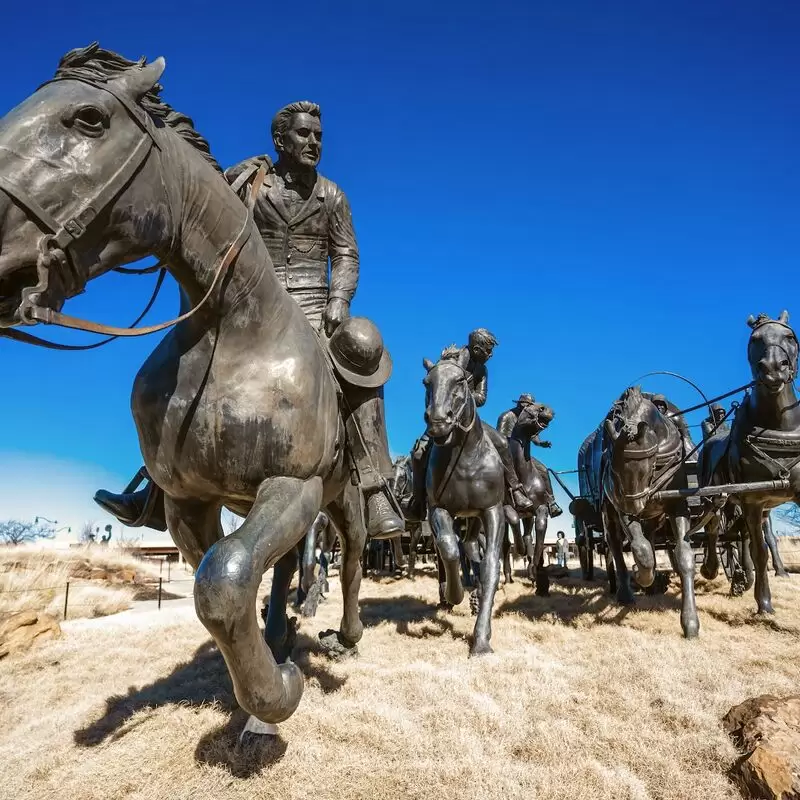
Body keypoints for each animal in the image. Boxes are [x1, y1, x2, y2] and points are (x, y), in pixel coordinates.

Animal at [0, 43, 374, 732]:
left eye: (89, 119)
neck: (232, 334)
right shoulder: (186, 502)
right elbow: (221, 576)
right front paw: (262, 683)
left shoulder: (295, 485)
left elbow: (224, 577)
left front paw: (277, 694)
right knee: (284, 567)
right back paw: (281, 636)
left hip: (345, 499)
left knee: (356, 553)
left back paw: (345, 635)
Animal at [422, 350, 504, 656]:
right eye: (426, 383)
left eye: (460, 381)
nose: (437, 421)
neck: (466, 456)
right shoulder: (438, 509)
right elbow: (449, 550)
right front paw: (454, 595)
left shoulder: (493, 511)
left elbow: (491, 565)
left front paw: (481, 640)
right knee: (454, 548)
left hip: (476, 515)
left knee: (471, 546)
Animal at [592, 388, 700, 636]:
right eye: (613, 470)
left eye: (647, 467)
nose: (634, 508)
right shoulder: (621, 504)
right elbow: (641, 550)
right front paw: (643, 577)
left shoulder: (678, 505)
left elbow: (683, 555)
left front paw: (690, 621)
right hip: (609, 514)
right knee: (616, 546)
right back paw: (627, 591)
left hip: (651, 516)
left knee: (649, 538)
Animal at [700, 314, 800, 620]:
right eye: (755, 340)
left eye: (789, 337)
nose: (773, 369)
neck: (779, 427)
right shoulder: (753, 499)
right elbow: (759, 551)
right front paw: (764, 603)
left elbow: (757, 543)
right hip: (716, 497)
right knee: (713, 530)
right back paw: (712, 569)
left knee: (738, 535)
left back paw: (741, 577)